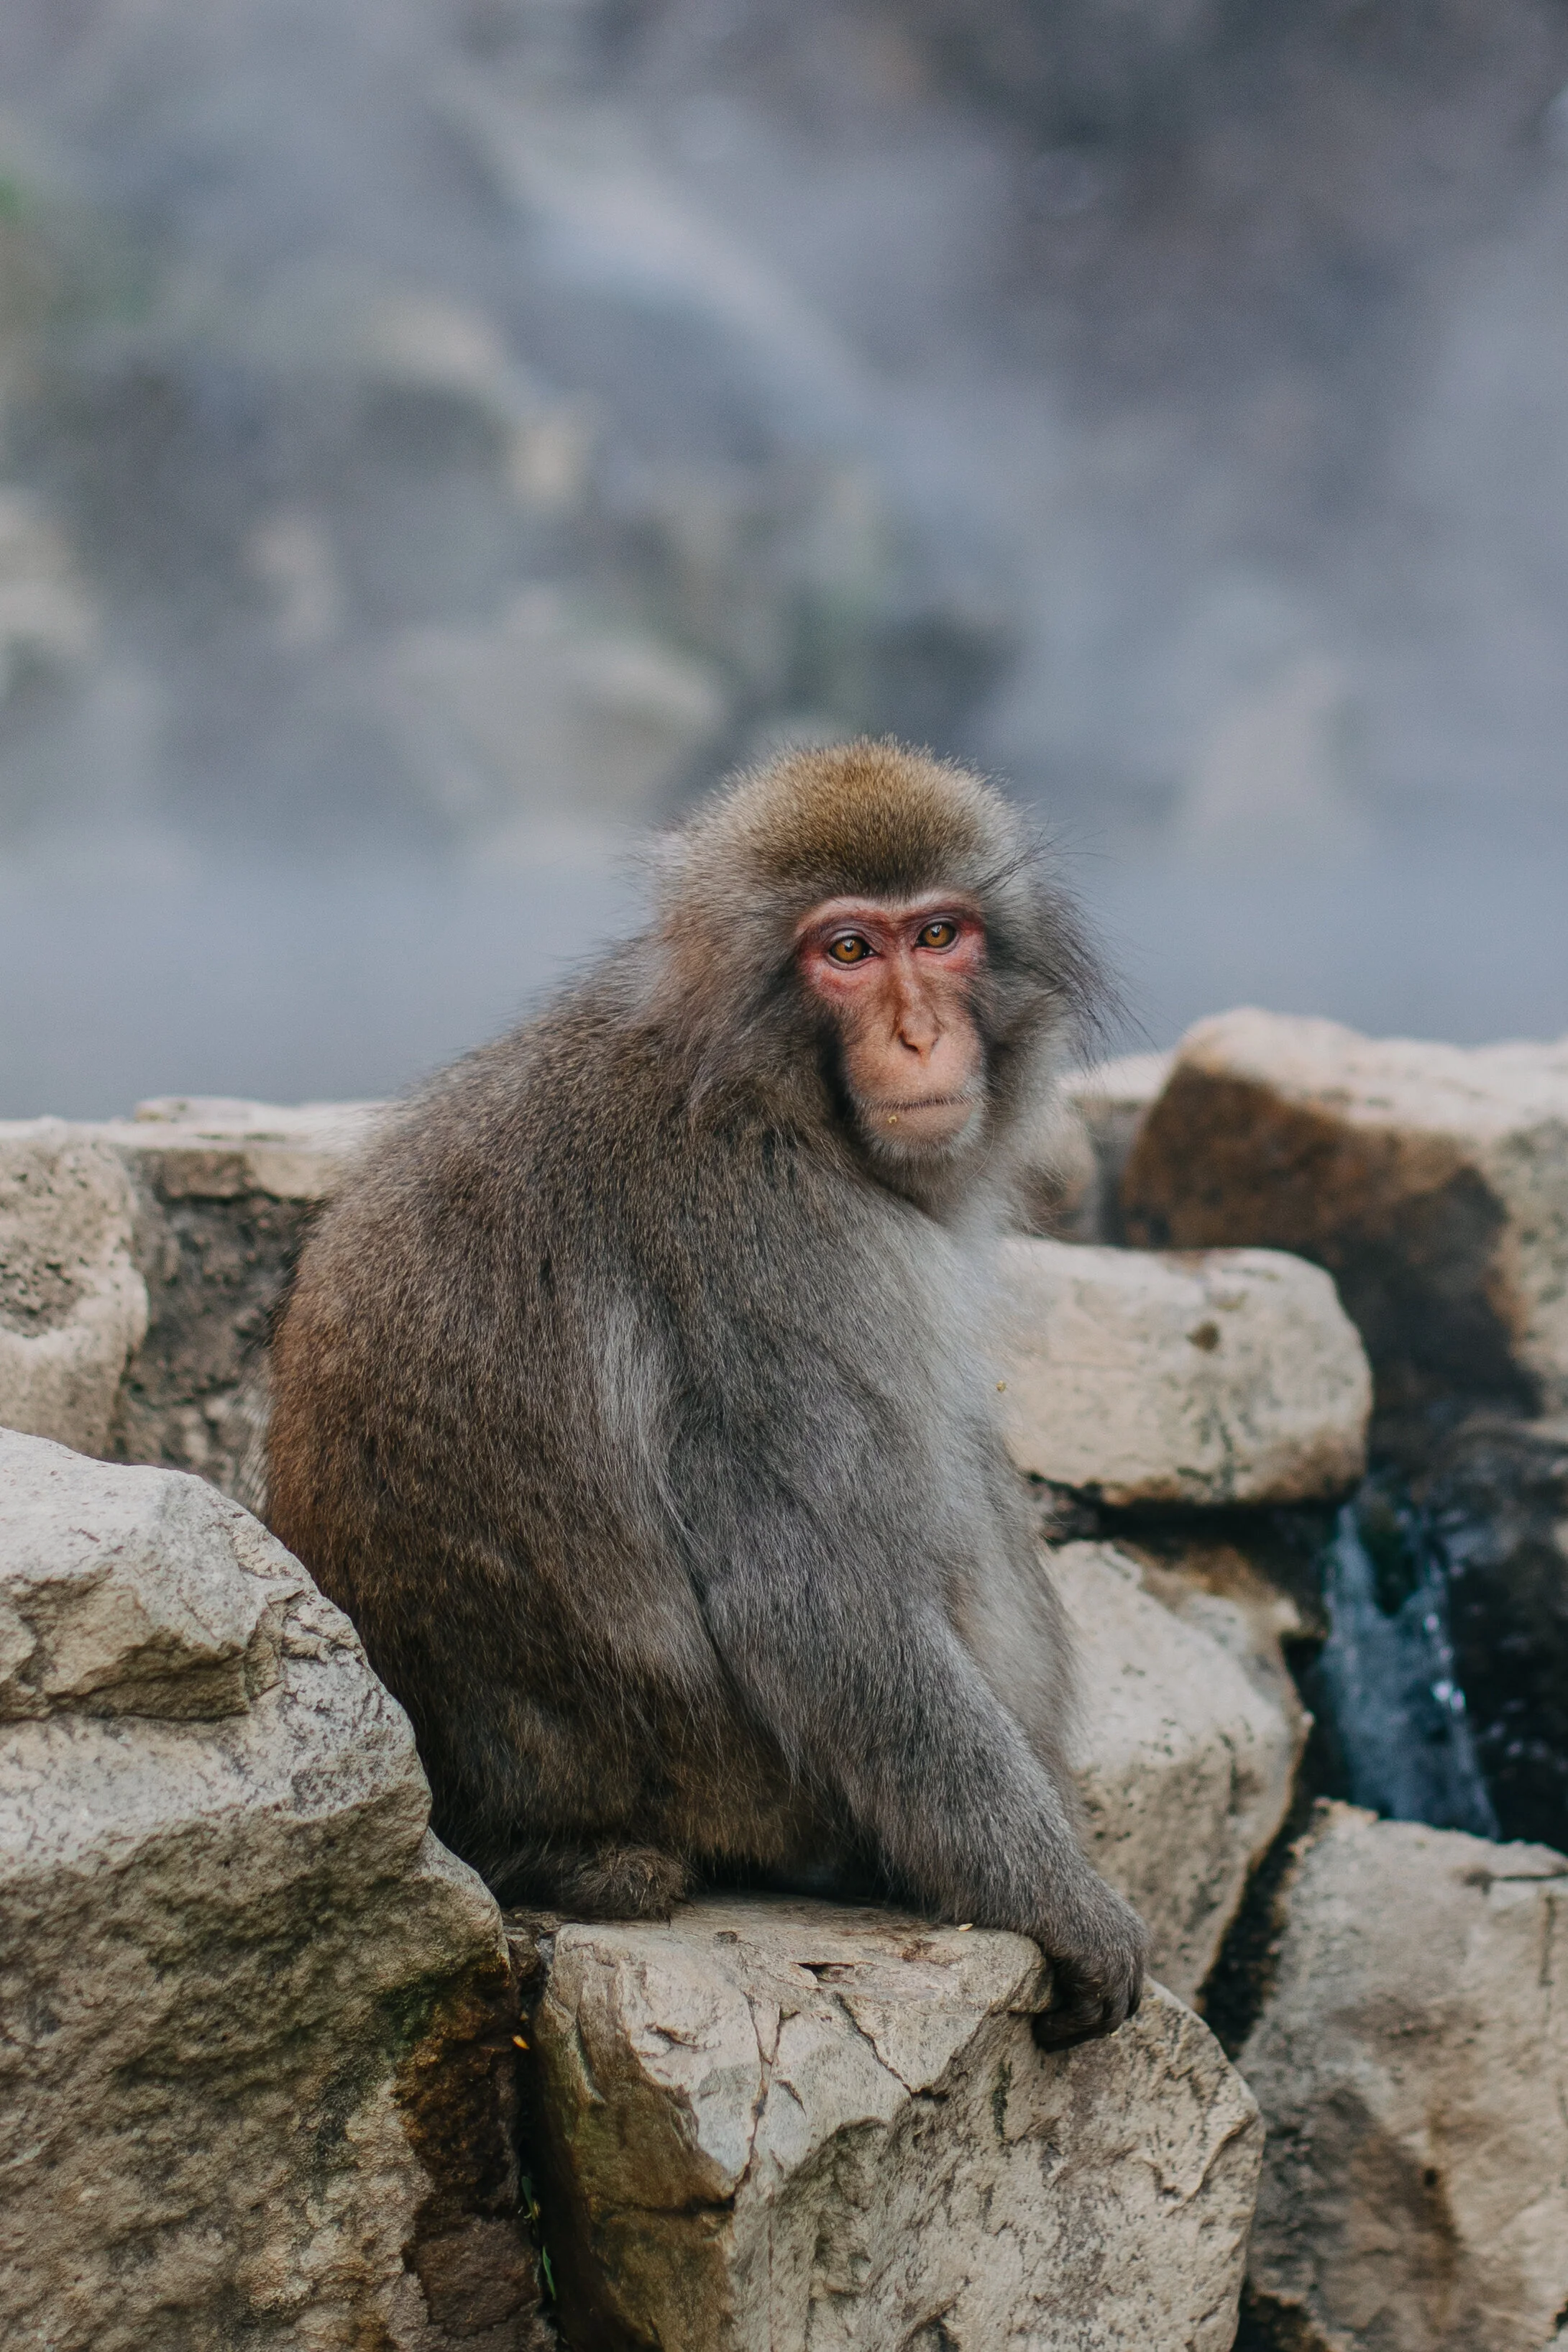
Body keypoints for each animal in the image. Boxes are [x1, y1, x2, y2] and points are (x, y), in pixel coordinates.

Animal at [266, 740, 1146, 2048]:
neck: (764, 1086)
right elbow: (818, 1601)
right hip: (740, 1786)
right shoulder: (777, 1246)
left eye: (939, 934)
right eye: (847, 951)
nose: (919, 1033)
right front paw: (1066, 1904)